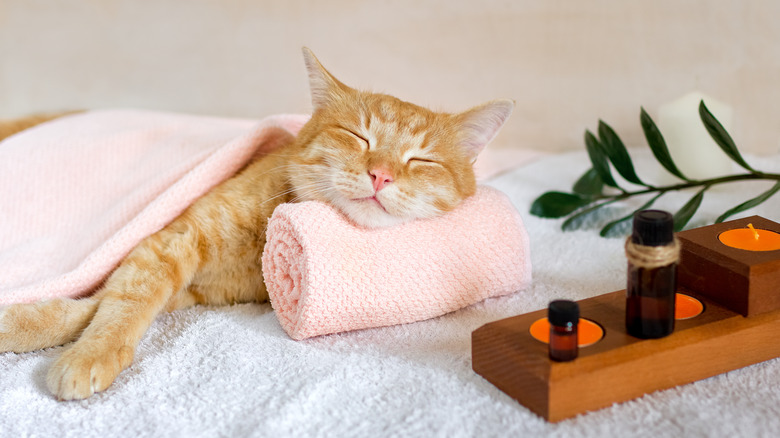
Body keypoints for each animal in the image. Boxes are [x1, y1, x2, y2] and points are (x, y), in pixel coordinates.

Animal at [0, 48, 512, 400]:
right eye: (357, 136)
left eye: (422, 160)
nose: (381, 174)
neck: (260, 242)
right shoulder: (165, 245)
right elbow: (116, 306)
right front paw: (86, 351)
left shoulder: (181, 283)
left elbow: (93, 307)